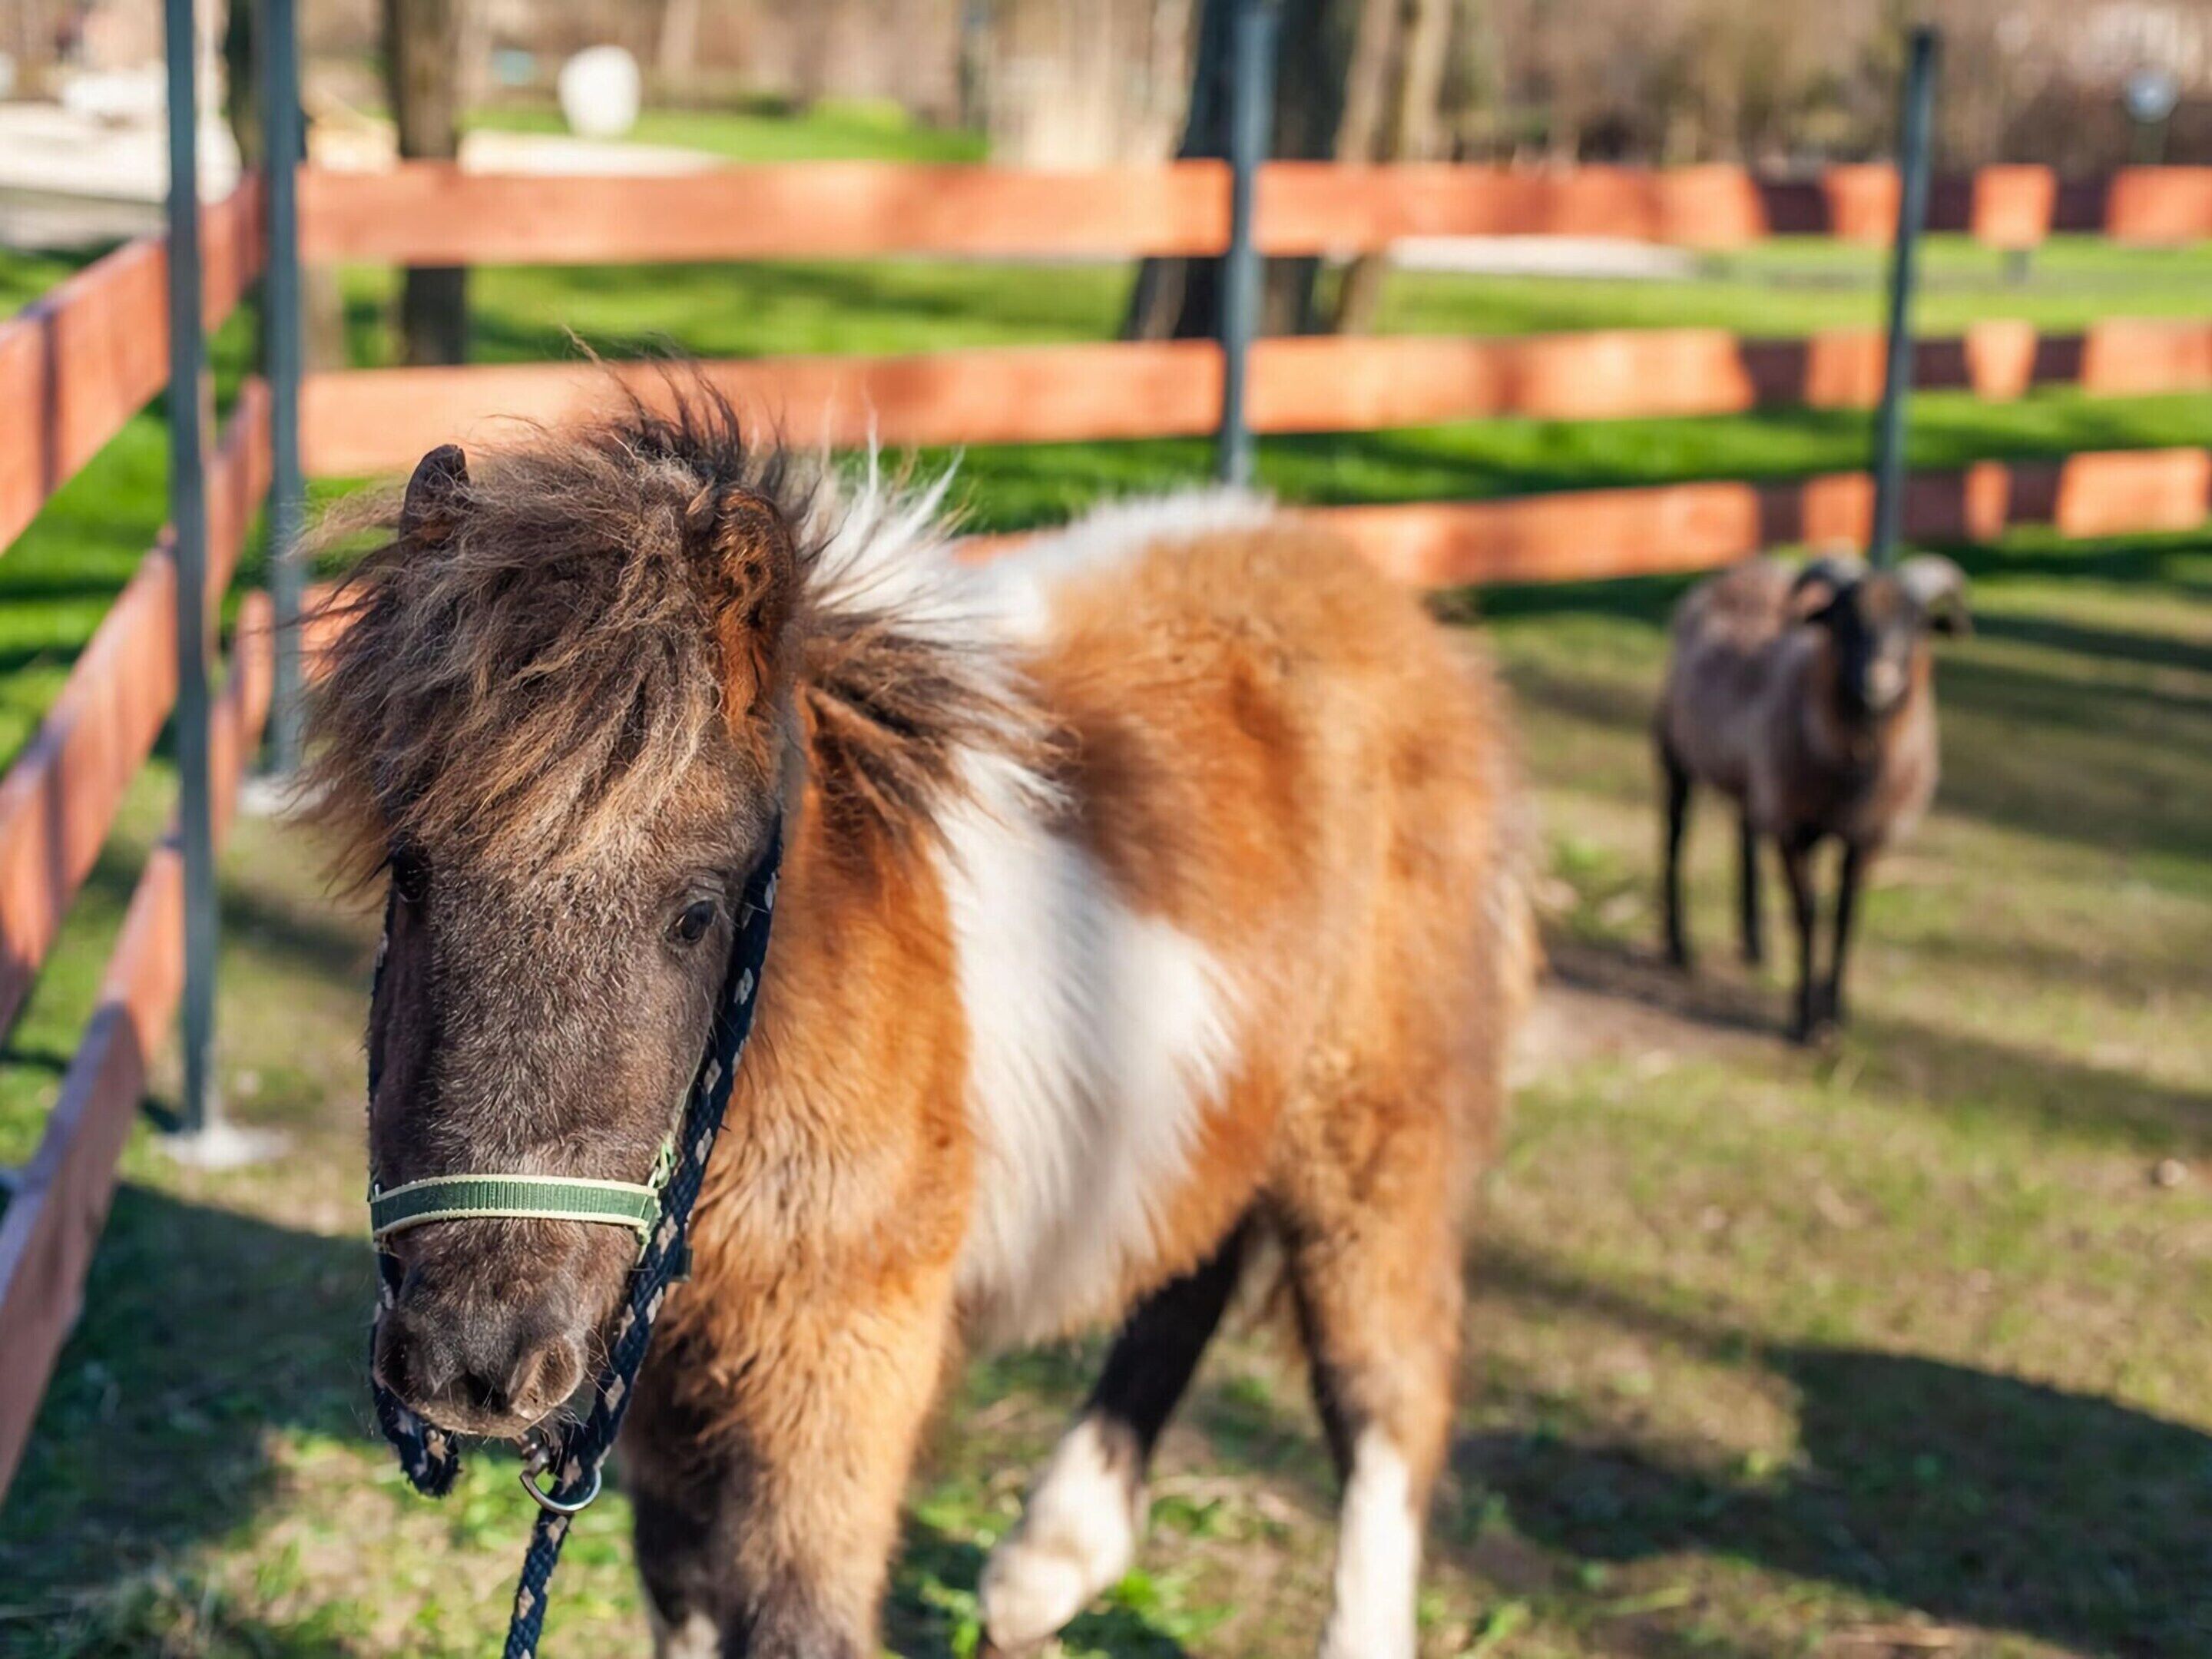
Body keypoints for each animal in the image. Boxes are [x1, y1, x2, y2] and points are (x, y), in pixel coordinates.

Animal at [308, 391, 1532, 1658]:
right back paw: (1047, 1567)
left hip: (1379, 1138)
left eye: (697, 910)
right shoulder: (657, 1402)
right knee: (1192, 1265)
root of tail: (1384, 605)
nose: (473, 1357)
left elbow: (801, 1618)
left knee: (1381, 1397)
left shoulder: (840, 1375)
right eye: (411, 873)